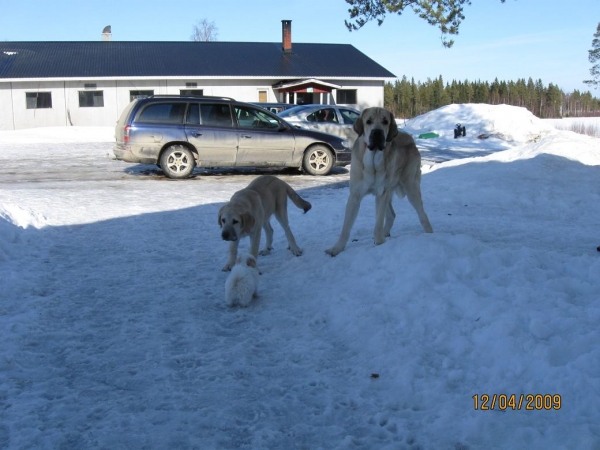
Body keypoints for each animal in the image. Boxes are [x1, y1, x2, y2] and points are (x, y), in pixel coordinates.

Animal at [328, 106, 432, 256]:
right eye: (368, 121)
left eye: (385, 121)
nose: (377, 132)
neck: (373, 163)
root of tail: (410, 140)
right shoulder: (355, 196)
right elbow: (346, 227)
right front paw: (337, 248)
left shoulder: (381, 193)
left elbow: (378, 222)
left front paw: (379, 243)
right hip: (390, 191)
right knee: (392, 215)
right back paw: (386, 233)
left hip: (411, 188)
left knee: (422, 214)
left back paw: (430, 235)